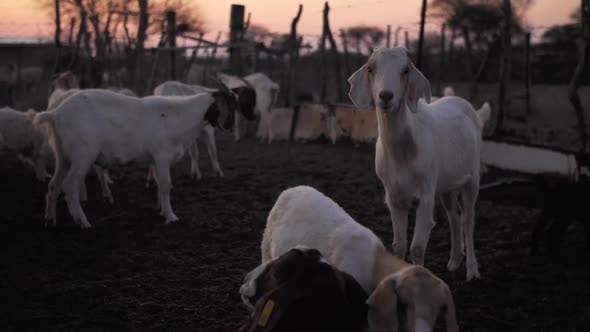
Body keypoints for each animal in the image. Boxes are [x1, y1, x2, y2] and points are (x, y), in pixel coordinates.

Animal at [33, 88, 238, 228]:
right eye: (231, 105)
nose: (230, 128)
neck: (180, 117)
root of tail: (56, 114)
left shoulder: (155, 160)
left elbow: (159, 184)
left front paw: (161, 211)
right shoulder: (162, 157)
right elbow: (166, 185)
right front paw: (171, 217)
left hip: (63, 155)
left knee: (53, 185)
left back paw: (50, 220)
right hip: (83, 154)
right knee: (69, 186)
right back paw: (83, 222)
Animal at [350, 46, 488, 280]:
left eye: (405, 70)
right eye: (370, 68)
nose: (386, 96)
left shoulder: (426, 192)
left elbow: (417, 247)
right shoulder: (393, 196)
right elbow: (399, 246)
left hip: (472, 177)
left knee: (469, 218)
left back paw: (472, 270)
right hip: (445, 184)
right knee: (455, 214)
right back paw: (454, 261)